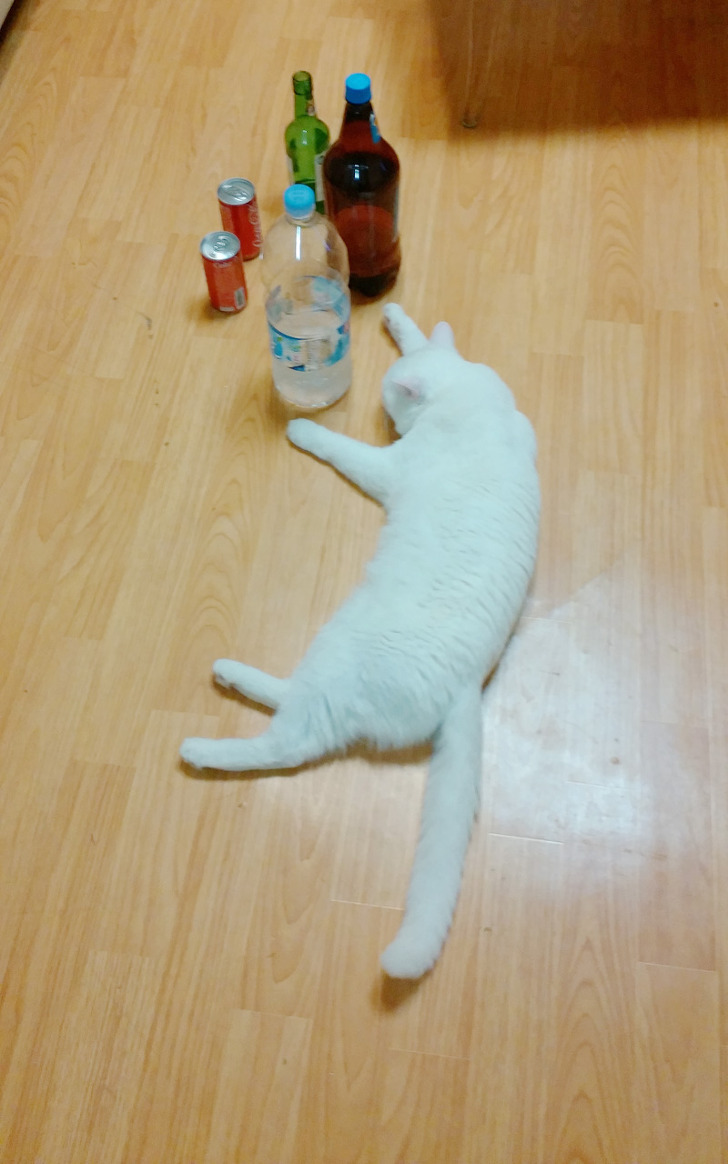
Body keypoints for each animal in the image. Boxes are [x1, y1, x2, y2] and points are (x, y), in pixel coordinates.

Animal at [180, 303, 540, 979]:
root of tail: (466, 685)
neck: (474, 400)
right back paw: (228, 674)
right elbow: (424, 338)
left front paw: (304, 428)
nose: (390, 413)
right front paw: (398, 318)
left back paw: (205, 734)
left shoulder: (389, 467)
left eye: (393, 402)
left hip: (336, 651)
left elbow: (345, 449)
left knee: (289, 744)